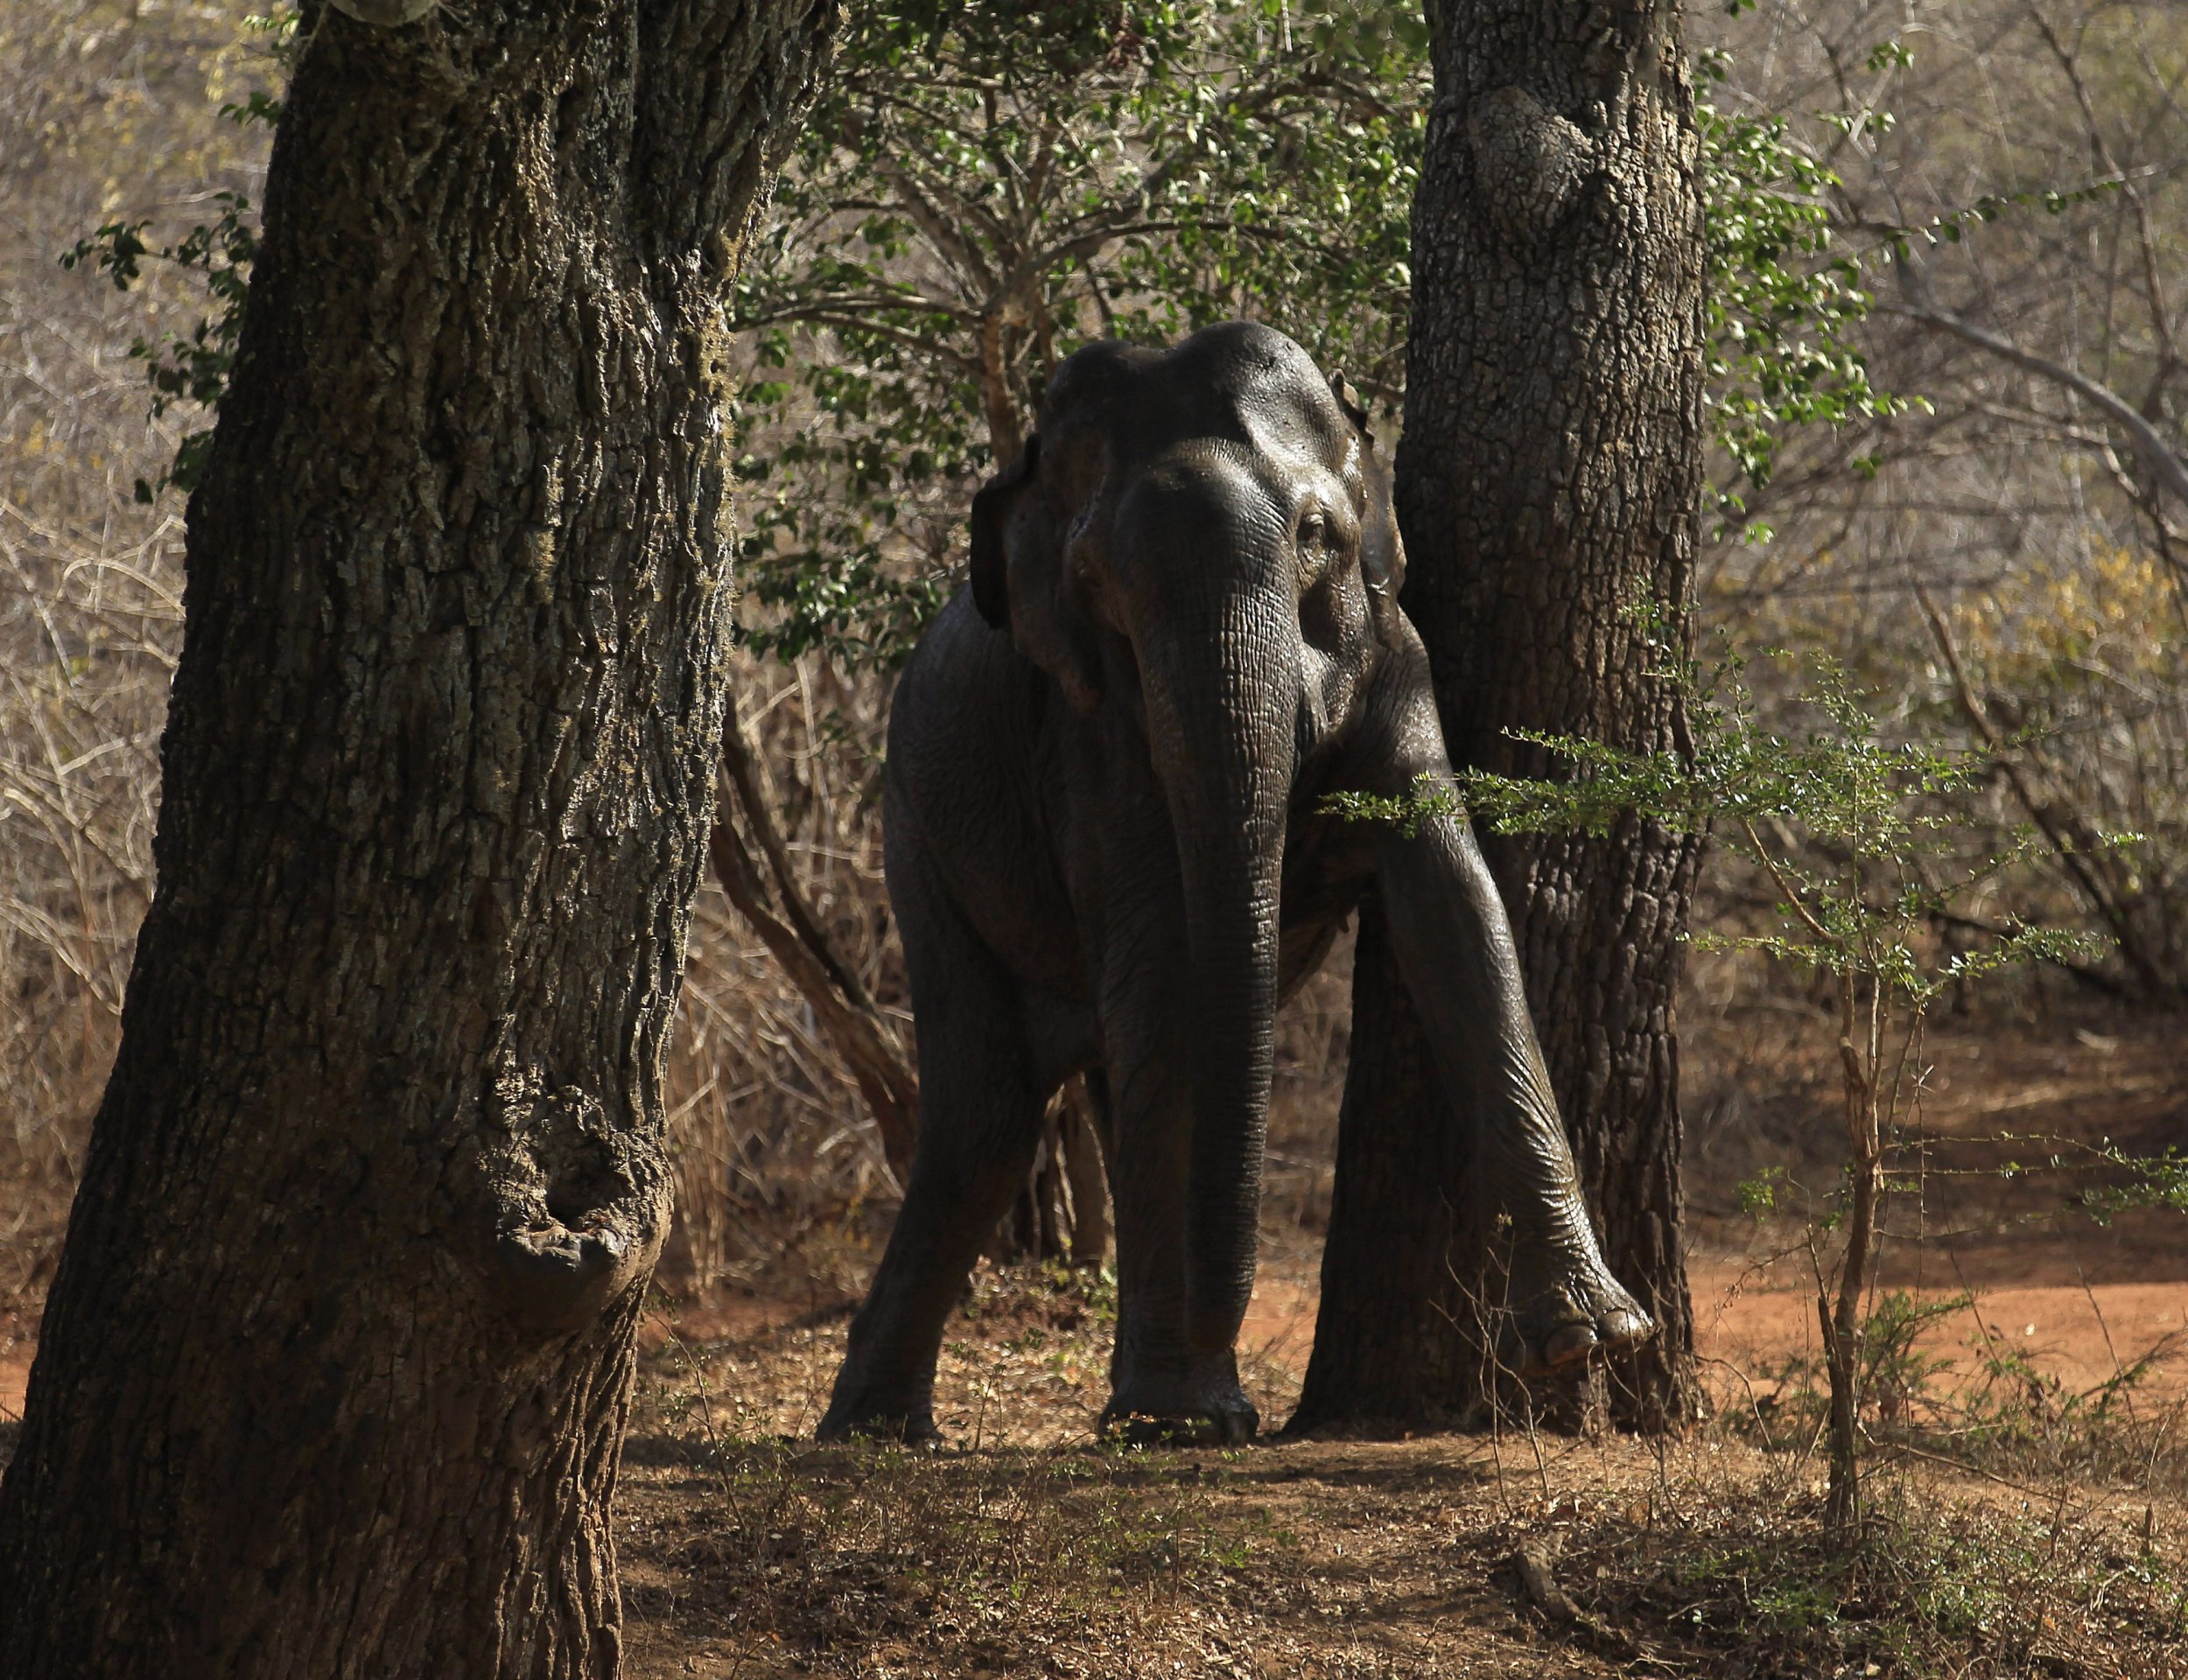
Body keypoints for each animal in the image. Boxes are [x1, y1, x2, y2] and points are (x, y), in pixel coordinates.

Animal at [818, 319, 1645, 1444]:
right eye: (1094, 581)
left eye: (1313, 534)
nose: (1259, 1401)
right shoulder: (1089, 735)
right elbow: (1170, 968)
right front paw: (1186, 1420)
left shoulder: (1399, 658)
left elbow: (1456, 916)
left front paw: (1589, 1341)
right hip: (916, 836)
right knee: (982, 1118)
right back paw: (880, 1431)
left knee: (1077, 1089)